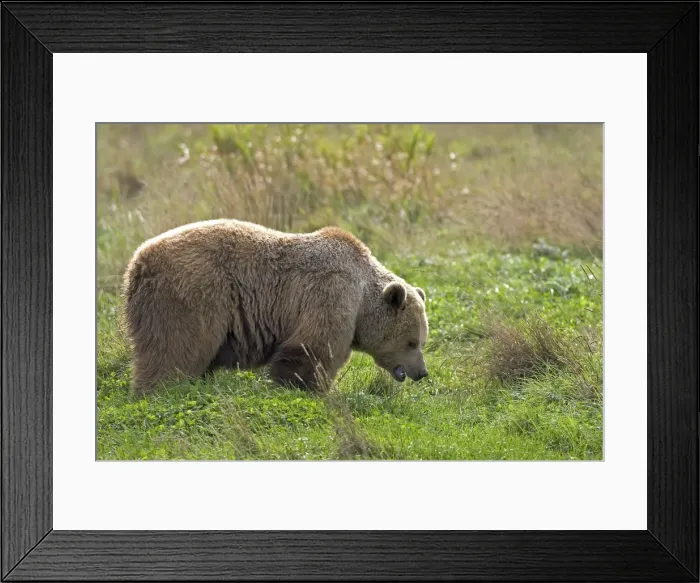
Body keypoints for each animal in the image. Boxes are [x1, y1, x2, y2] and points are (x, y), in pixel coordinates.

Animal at [121, 219, 429, 393]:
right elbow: (312, 348)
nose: (422, 373)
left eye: (421, 341)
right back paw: (161, 391)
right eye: (412, 342)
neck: (362, 296)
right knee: (174, 350)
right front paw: (303, 388)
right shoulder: (331, 292)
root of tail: (137, 262)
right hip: (190, 297)